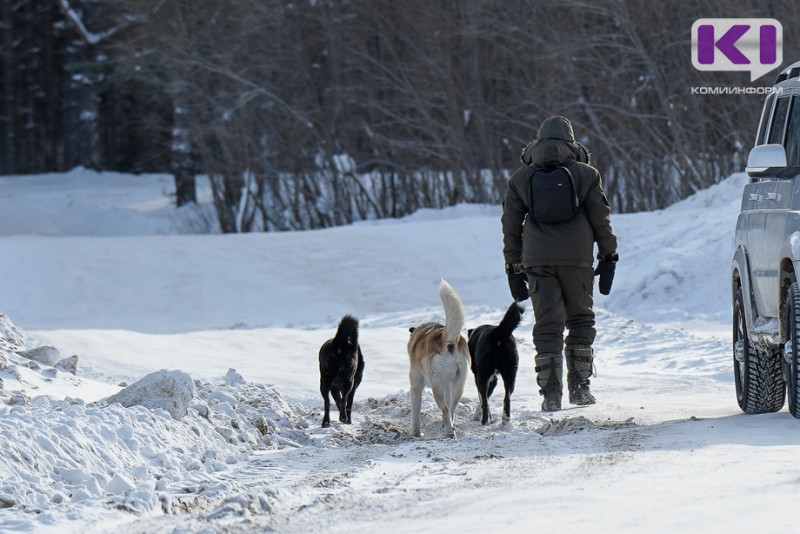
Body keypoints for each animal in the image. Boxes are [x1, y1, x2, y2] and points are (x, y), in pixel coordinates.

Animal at [406, 280, 468, 440]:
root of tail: (448, 340)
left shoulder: (416, 384)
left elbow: (415, 410)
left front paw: (416, 432)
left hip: (437, 386)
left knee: (445, 409)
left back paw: (449, 432)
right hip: (458, 385)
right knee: (451, 408)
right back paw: (448, 428)